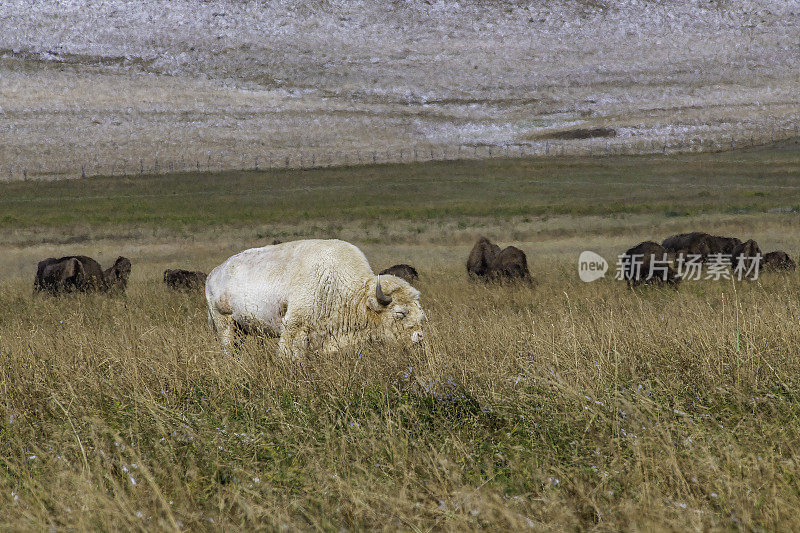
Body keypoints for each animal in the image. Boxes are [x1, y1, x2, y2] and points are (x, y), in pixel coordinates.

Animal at [206, 239, 424, 356]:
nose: (419, 337)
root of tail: (213, 275)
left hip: (240, 328)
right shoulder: (294, 327)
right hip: (224, 323)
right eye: (400, 313)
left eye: (420, 314)